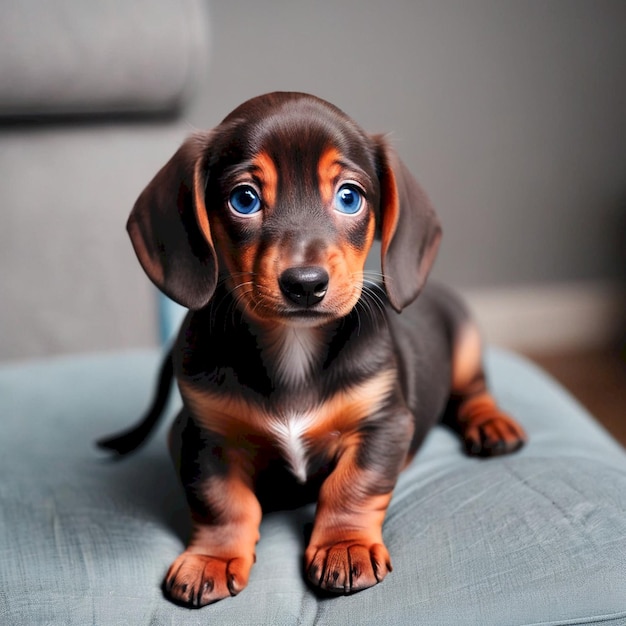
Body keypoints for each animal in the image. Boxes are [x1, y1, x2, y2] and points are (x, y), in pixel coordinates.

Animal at [98, 92, 528, 604]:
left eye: (349, 196)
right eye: (244, 199)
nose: (305, 284)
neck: (293, 347)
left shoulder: (383, 423)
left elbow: (352, 485)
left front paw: (345, 545)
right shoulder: (201, 435)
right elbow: (222, 502)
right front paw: (213, 557)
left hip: (464, 347)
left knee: (475, 390)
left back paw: (491, 424)